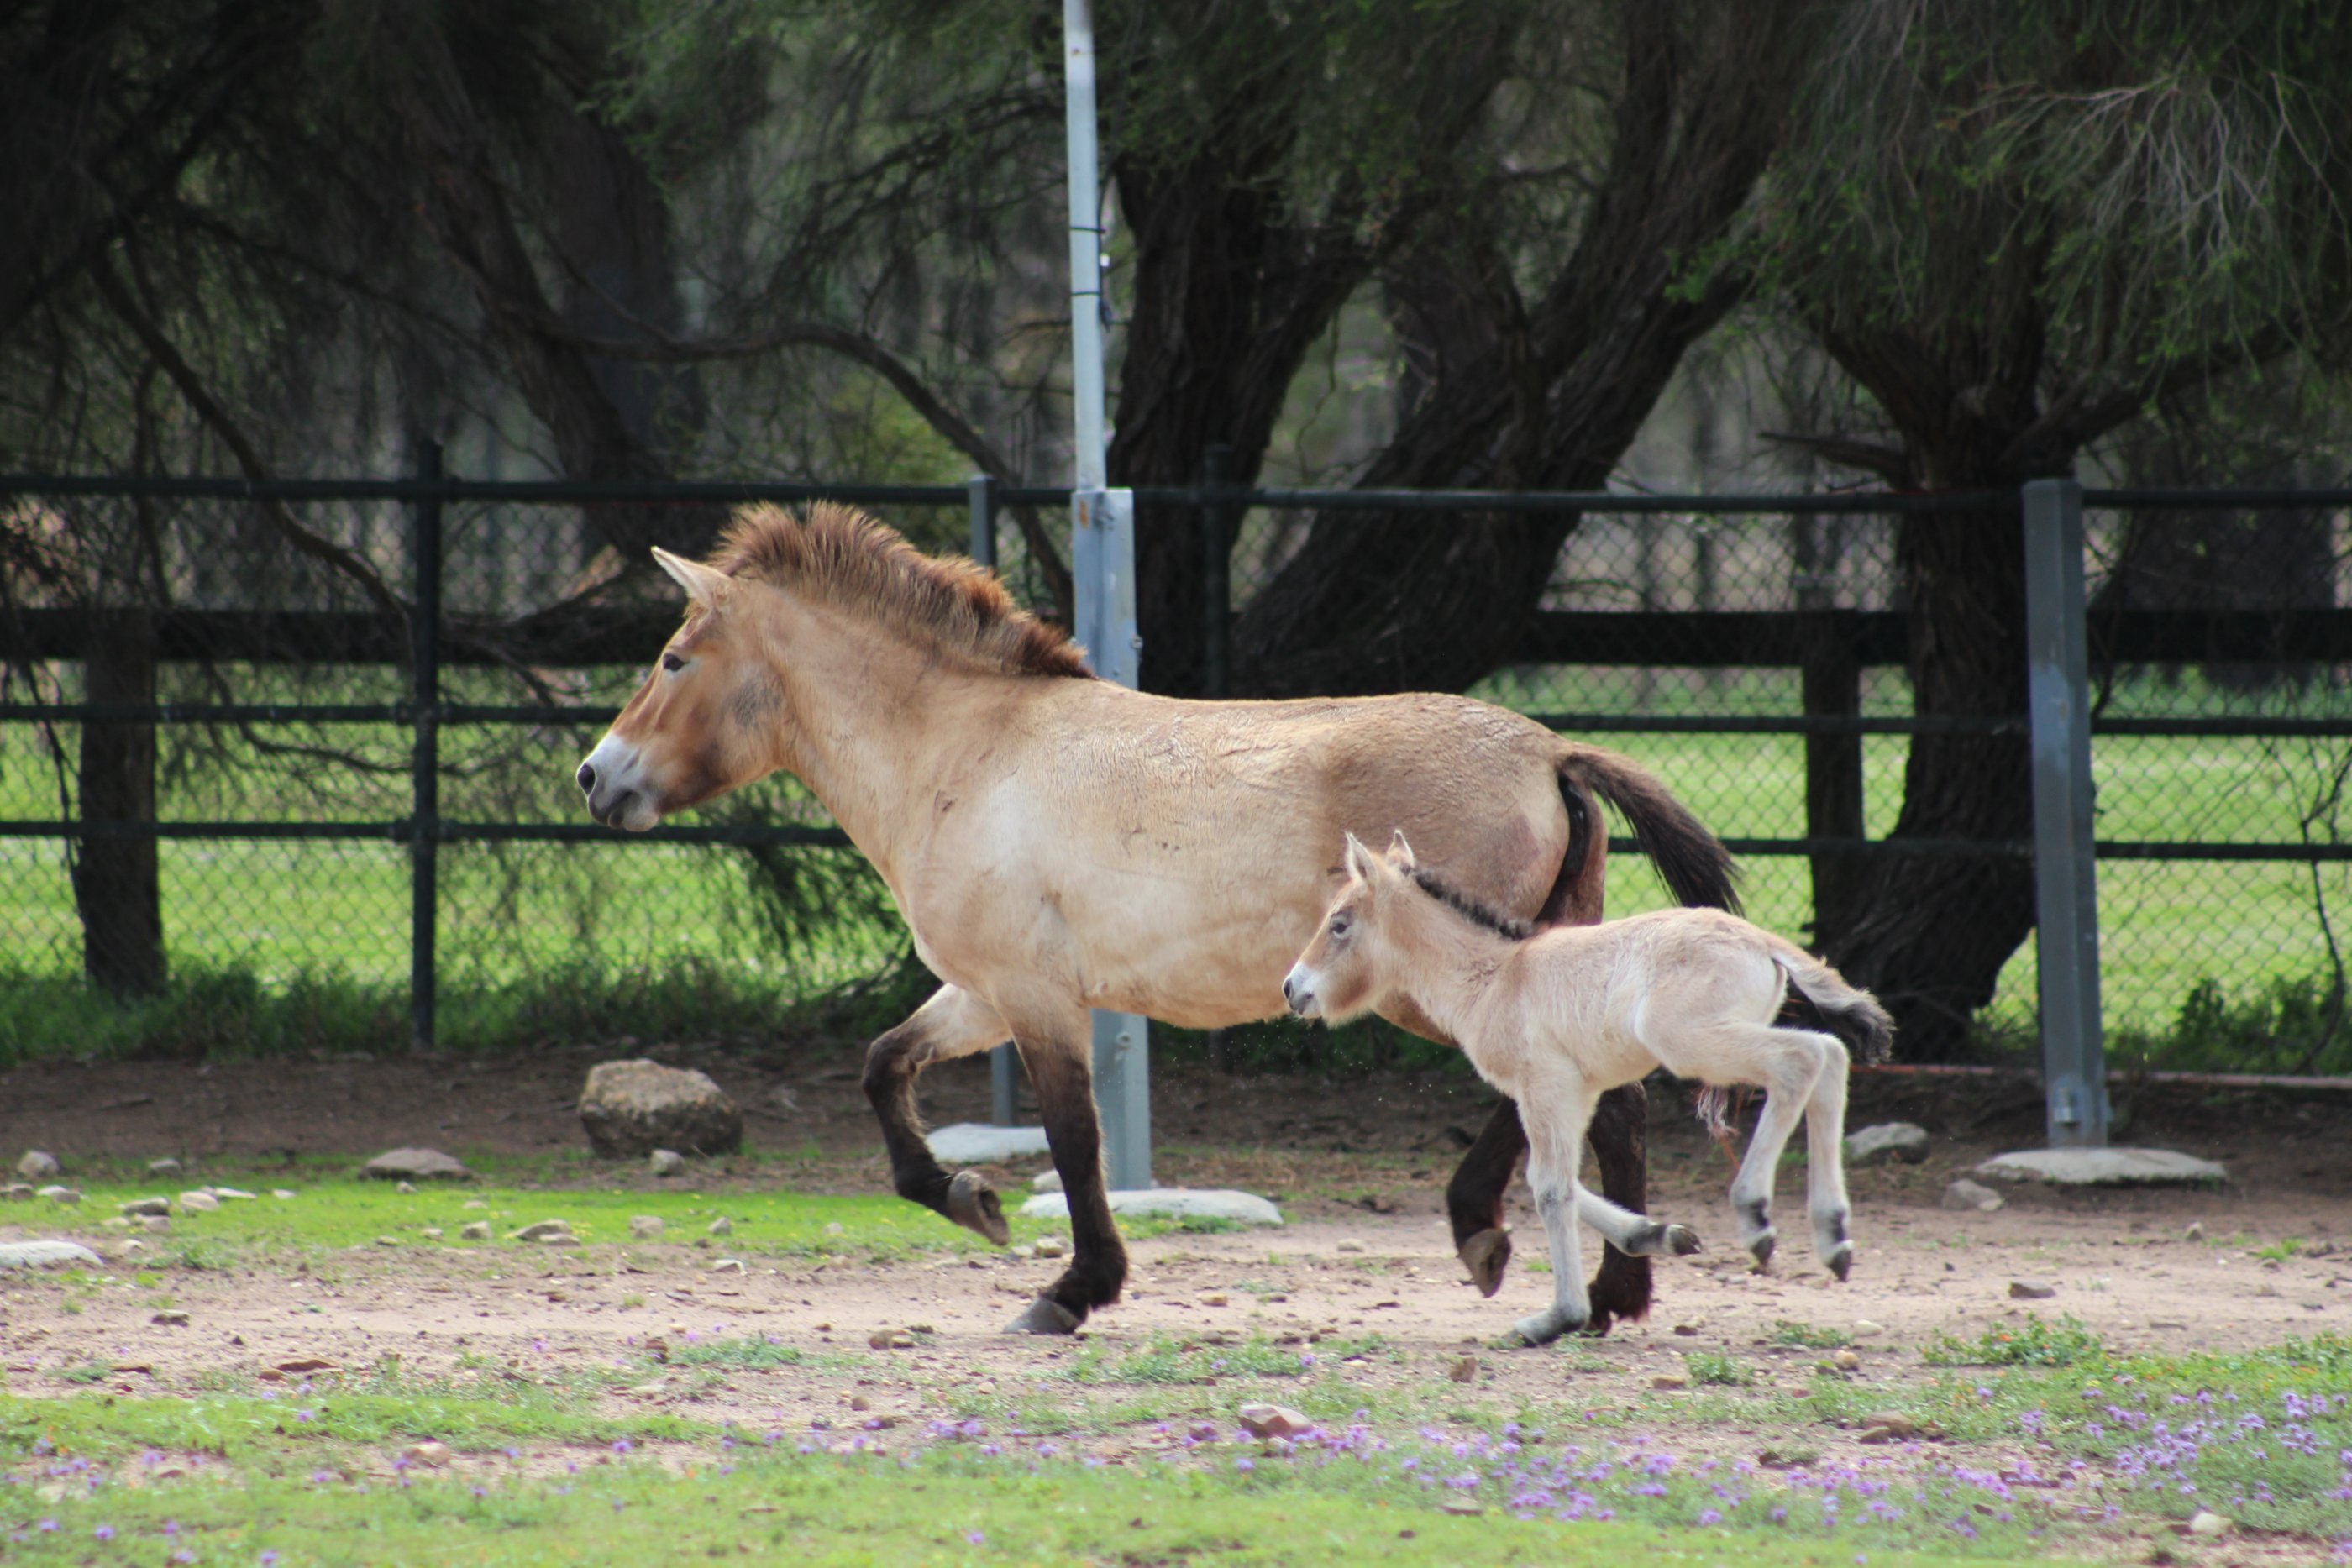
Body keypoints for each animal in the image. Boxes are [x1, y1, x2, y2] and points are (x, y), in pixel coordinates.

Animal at [576, 502, 1740, 1334]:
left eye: (674, 657)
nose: (595, 776)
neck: (963, 753)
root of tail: (1547, 750)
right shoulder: (983, 993)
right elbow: (882, 1068)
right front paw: (968, 1200)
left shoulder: (1037, 998)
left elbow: (1075, 1138)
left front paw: (1071, 1289)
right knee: (1615, 1106)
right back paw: (1619, 1293)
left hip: (1449, 982)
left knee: (1554, 1096)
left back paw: (1485, 1238)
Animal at [1282, 831, 1889, 1346]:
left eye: (1339, 923)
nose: (1293, 988)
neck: (1495, 978)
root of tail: (1763, 940)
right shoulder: (1578, 1092)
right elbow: (1559, 1182)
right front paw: (1659, 1233)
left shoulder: (1543, 1086)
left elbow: (1550, 1189)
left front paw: (1559, 1317)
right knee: (1831, 1057)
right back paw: (1833, 1237)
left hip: (1691, 1043)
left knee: (1802, 1061)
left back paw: (1757, 1215)